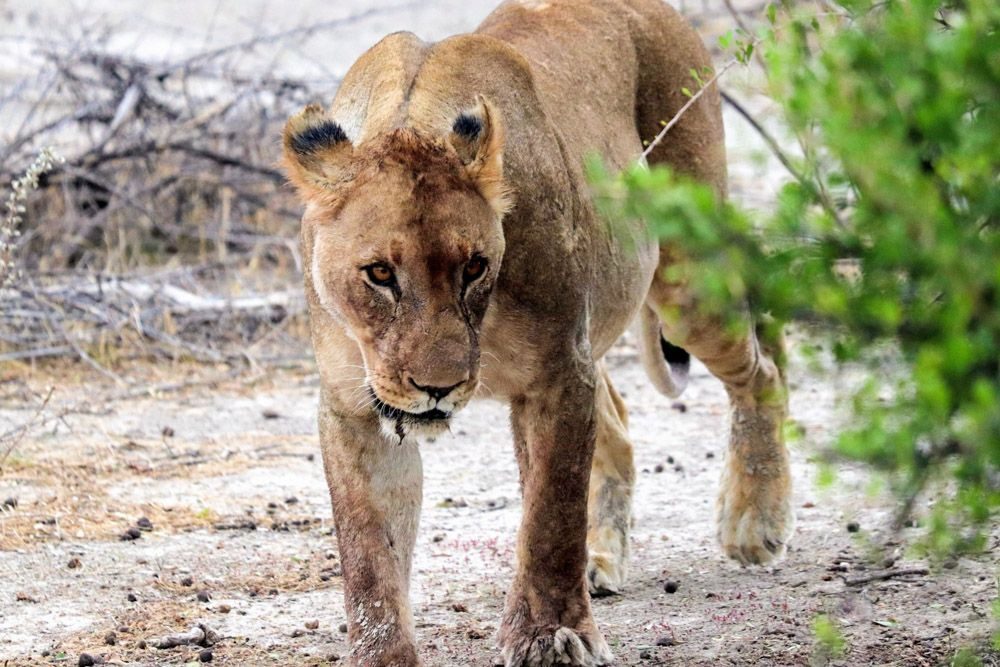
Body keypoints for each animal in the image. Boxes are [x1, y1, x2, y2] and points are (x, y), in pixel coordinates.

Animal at [280, 0, 793, 665]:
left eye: (474, 267)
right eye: (380, 274)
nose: (438, 387)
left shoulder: (558, 374)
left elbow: (550, 514)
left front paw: (551, 635)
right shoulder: (354, 404)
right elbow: (368, 548)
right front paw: (381, 655)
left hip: (687, 278)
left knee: (764, 365)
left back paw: (755, 522)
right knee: (619, 419)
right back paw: (601, 558)